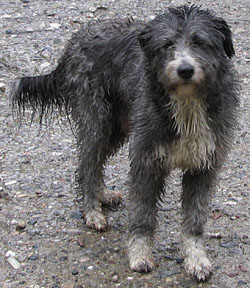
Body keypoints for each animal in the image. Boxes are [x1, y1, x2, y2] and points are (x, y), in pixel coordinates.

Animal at [10, 4, 239, 282]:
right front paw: (139, 255)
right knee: (87, 165)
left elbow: (194, 221)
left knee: (94, 163)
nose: (185, 70)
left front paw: (196, 259)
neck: (186, 104)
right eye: (167, 44)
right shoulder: (146, 161)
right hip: (96, 122)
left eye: (199, 42)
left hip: (116, 129)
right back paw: (92, 211)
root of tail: (75, 40)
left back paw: (102, 194)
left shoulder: (203, 166)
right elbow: (142, 216)